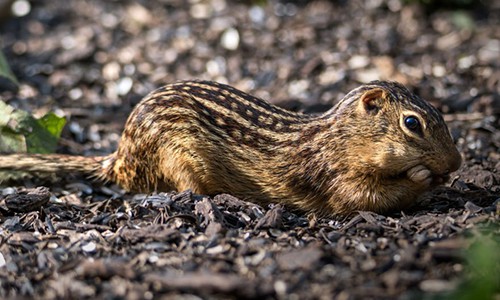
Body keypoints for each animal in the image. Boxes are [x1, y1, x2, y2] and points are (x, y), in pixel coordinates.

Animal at [0, 80, 460, 216]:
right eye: (412, 124)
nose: (457, 163)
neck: (341, 138)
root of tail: (120, 160)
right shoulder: (335, 178)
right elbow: (366, 199)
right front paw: (424, 177)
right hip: (179, 160)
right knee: (187, 191)